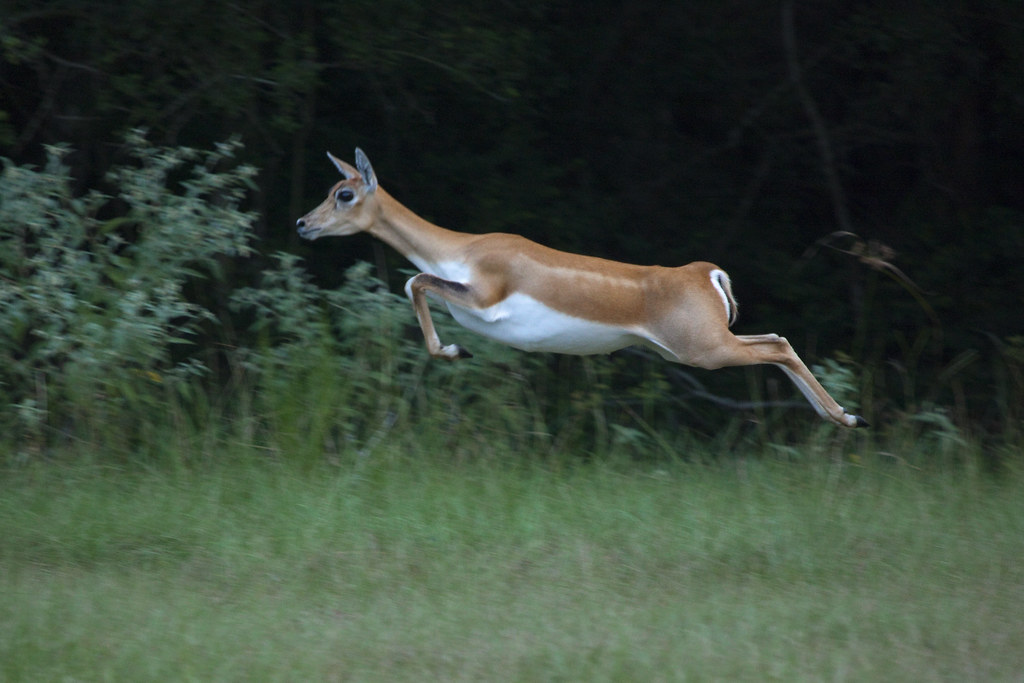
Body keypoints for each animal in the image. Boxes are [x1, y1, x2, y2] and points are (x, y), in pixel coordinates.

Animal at [297, 149, 867, 428]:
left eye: (344, 193)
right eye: (329, 188)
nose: (303, 223)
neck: (463, 249)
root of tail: (704, 273)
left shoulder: (481, 297)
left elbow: (414, 280)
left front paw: (457, 351)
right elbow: (415, 283)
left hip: (703, 350)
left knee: (779, 345)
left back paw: (848, 417)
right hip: (696, 348)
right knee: (777, 342)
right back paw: (843, 418)